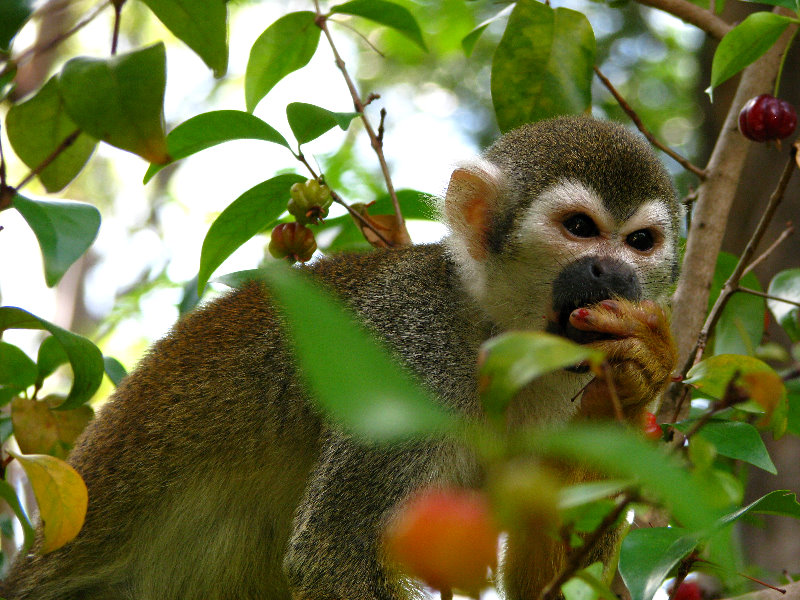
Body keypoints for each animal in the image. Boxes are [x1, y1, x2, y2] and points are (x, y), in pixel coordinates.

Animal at [1, 117, 680, 600]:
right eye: (580, 228)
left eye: (640, 242)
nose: (615, 273)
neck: (495, 333)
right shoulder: (408, 345)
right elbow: (334, 551)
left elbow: (553, 583)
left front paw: (635, 378)